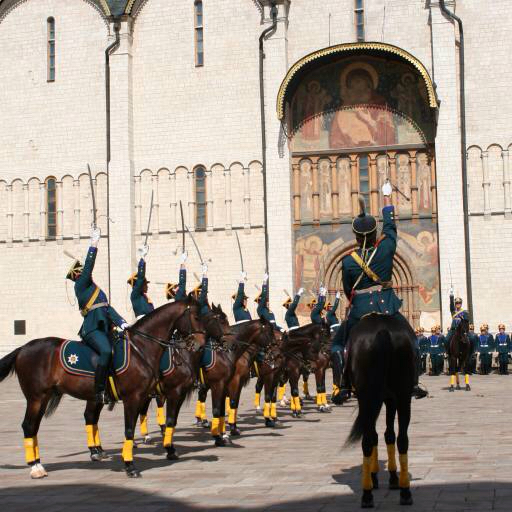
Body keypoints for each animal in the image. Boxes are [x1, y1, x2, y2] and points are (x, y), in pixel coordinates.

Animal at [0, 298, 206, 478]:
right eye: (197, 317)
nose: (200, 344)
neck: (141, 348)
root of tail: (23, 348)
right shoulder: (137, 397)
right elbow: (130, 430)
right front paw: (130, 466)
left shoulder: (148, 396)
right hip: (36, 397)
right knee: (29, 426)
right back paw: (36, 467)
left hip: (47, 398)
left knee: (39, 426)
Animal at [344, 312, 416, 508]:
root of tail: (383, 330)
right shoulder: (390, 398)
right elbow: (389, 435)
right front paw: (391, 478)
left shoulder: (376, 399)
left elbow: (377, 436)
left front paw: (376, 476)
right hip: (403, 394)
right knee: (403, 439)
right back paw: (405, 491)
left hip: (368, 397)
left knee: (367, 441)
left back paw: (367, 494)